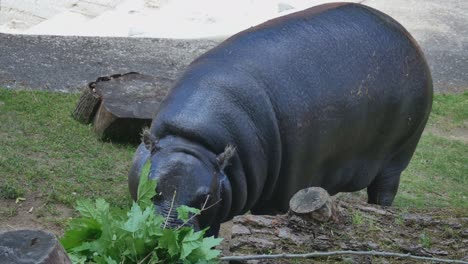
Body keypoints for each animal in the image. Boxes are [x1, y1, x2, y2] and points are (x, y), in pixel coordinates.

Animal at [127, 2, 432, 236]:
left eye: (204, 198)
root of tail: (407, 34)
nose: (164, 235)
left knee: (384, 192)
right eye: (150, 187)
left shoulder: (279, 196)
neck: (193, 140)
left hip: (398, 157)